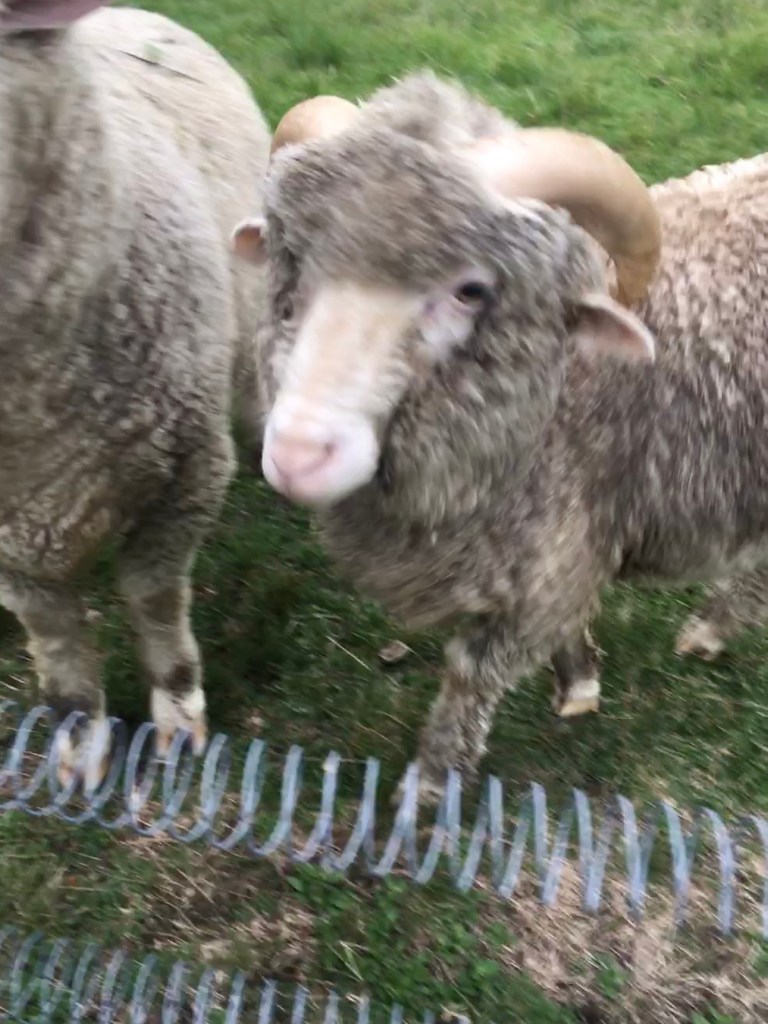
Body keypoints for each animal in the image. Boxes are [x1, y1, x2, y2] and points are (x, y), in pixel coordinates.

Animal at [0, 0, 270, 785]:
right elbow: (54, 634)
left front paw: (178, 715)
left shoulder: (187, 476)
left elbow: (154, 597)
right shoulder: (11, 542)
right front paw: (78, 738)